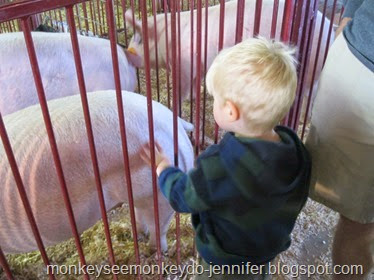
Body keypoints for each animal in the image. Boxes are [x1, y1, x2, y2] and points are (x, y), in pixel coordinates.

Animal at [0, 89, 193, 254]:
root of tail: (170, 121)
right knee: (141, 216)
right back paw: (137, 236)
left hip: (157, 196)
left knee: (158, 227)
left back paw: (154, 251)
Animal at [125, 0, 334, 100]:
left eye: (139, 39)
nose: (127, 52)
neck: (167, 39)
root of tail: (330, 36)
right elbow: (195, 84)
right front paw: (194, 98)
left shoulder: (184, 65)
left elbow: (182, 88)